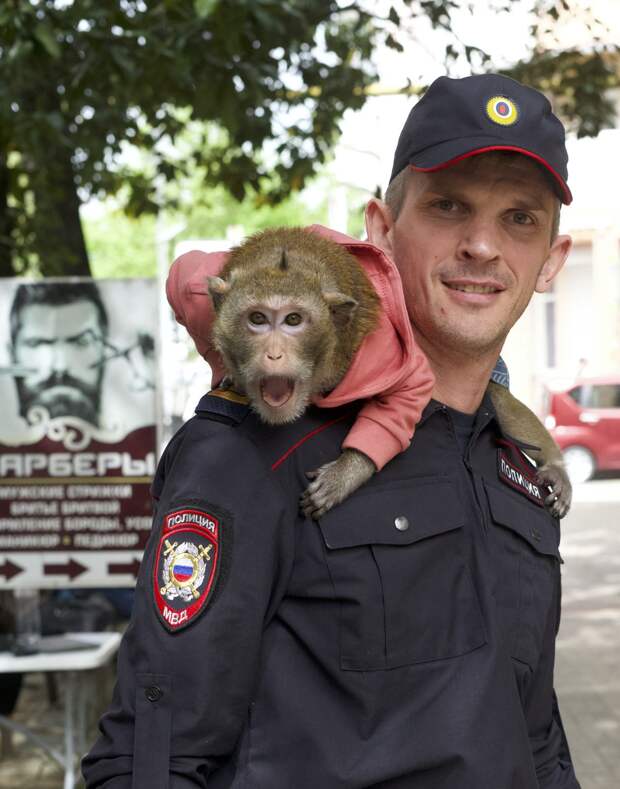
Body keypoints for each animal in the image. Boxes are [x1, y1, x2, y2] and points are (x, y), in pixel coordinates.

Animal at [203, 225, 572, 520]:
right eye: (257, 319)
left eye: (294, 320)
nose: (274, 353)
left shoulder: (378, 356)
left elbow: (413, 389)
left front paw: (347, 473)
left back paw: (555, 467)